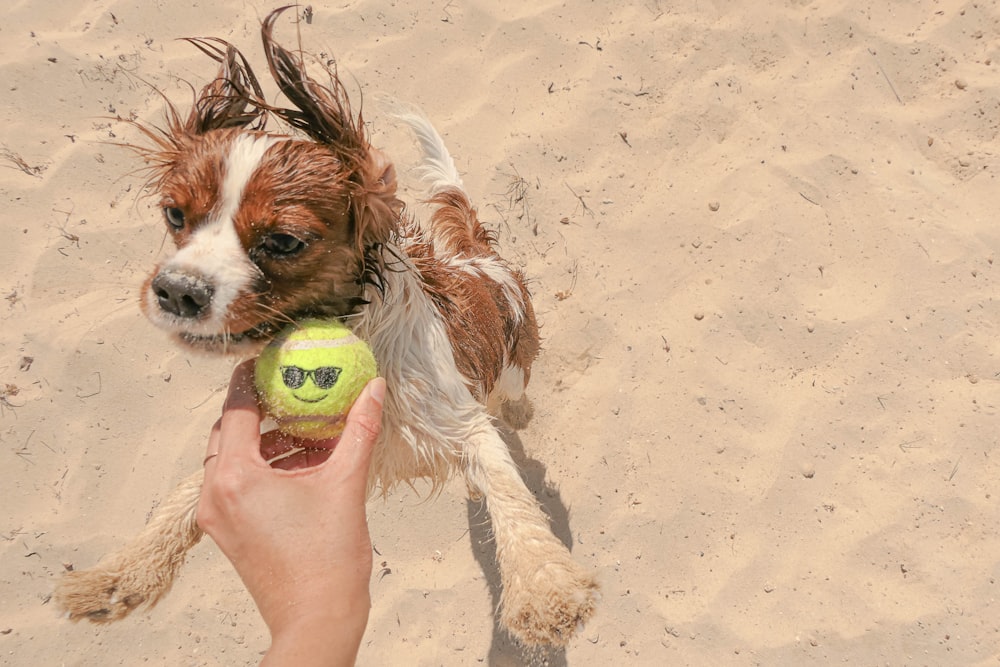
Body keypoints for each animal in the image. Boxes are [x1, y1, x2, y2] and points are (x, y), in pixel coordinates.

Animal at [54, 5, 596, 648]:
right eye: (174, 214)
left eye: (284, 241)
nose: (176, 290)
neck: (358, 329)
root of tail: (476, 257)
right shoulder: (287, 443)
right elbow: (190, 490)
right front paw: (122, 573)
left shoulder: (459, 421)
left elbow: (506, 486)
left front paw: (541, 586)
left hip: (514, 363)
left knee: (511, 400)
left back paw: (517, 412)